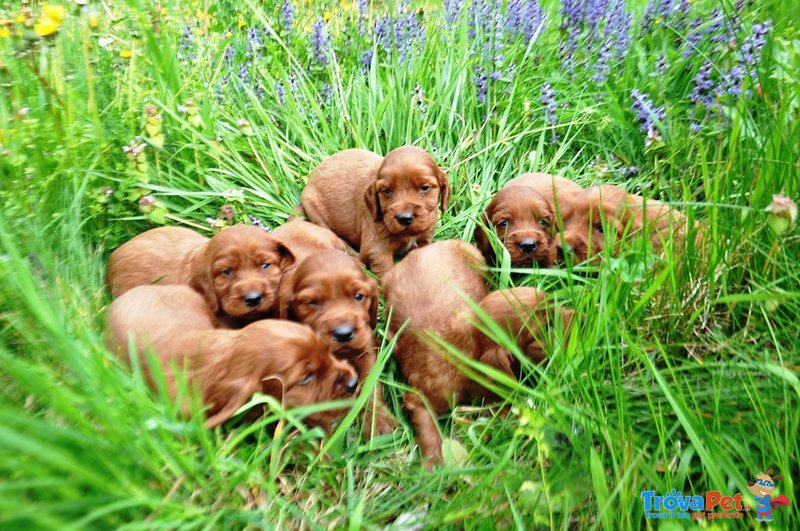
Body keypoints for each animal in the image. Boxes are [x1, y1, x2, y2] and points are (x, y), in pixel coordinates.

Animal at [278, 251, 396, 438]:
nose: (344, 333)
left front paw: (378, 422)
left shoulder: (367, 347)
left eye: (358, 296)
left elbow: (370, 383)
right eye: (312, 302)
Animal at [300, 145, 450, 278]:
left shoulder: (425, 237)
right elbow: (386, 270)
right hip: (313, 209)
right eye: (386, 191)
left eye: (425, 187)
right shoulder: (376, 248)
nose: (404, 218)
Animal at [382, 239, 576, 468]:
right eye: (545, 329)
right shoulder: (422, 396)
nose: (582, 316)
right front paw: (434, 464)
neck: (464, 349)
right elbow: (429, 430)